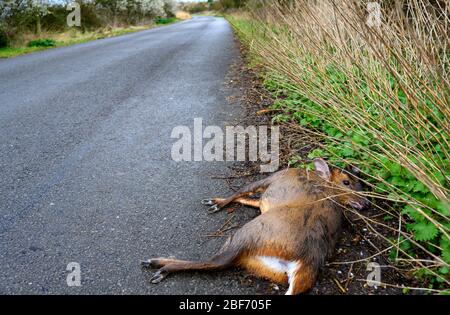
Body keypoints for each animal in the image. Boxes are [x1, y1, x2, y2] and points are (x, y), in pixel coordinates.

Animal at [142, 159, 370, 296]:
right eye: (348, 182)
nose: (366, 203)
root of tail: (308, 259)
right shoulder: (265, 198)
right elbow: (249, 199)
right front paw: (216, 201)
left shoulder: (272, 178)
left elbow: (243, 190)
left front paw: (216, 203)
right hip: (265, 265)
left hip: (248, 233)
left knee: (216, 262)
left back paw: (159, 265)